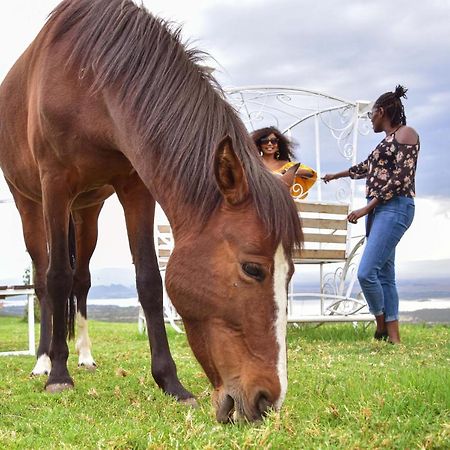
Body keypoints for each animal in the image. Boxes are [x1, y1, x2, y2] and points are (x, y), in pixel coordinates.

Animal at [0, 0, 302, 422]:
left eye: (290, 273)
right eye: (252, 269)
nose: (267, 401)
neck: (90, 77)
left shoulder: (135, 187)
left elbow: (148, 280)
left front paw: (171, 382)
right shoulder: (55, 183)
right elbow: (57, 277)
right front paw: (58, 375)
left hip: (88, 210)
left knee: (82, 281)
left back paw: (85, 356)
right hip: (32, 204)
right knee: (47, 280)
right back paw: (44, 361)